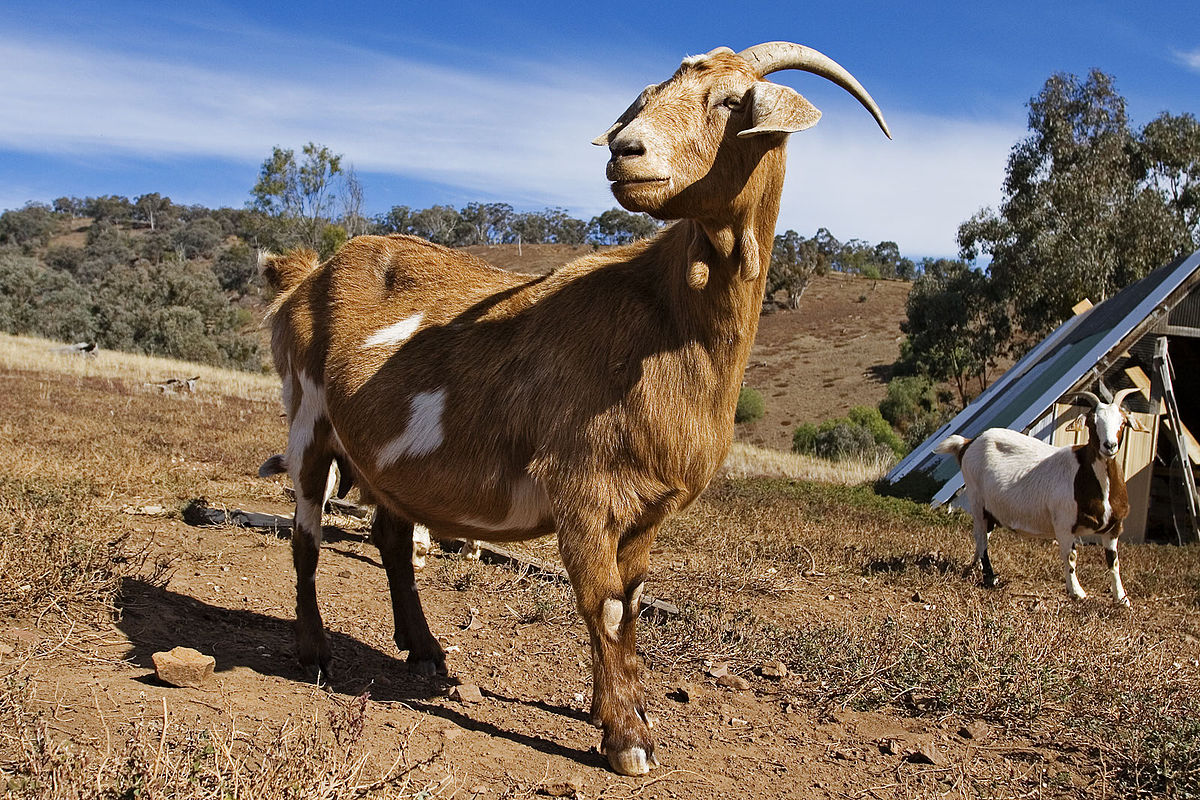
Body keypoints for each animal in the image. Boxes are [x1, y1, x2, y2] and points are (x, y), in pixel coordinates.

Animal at [936, 388, 1142, 606]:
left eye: (1122, 422)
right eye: (1092, 422)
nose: (1109, 445)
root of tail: (968, 444)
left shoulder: (1114, 528)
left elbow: (1114, 561)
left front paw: (1122, 598)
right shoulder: (1064, 523)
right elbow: (1071, 556)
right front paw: (1076, 592)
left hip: (989, 508)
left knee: (984, 535)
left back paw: (974, 567)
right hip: (976, 499)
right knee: (981, 537)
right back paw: (990, 578)